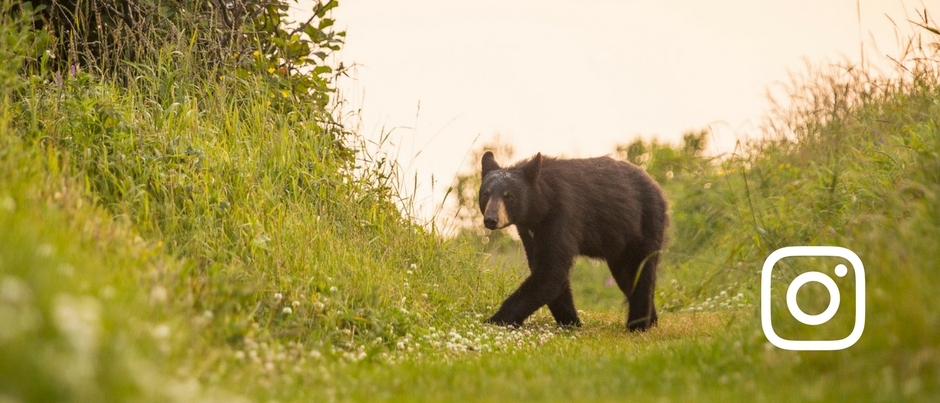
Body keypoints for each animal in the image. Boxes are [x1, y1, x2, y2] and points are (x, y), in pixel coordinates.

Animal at [478, 152, 668, 332]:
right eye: (486, 194)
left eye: (508, 196)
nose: (491, 220)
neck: (539, 207)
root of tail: (657, 187)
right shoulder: (529, 231)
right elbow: (546, 268)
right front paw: (571, 322)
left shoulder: (562, 214)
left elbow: (552, 271)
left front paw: (494, 320)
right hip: (620, 245)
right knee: (627, 276)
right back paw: (650, 320)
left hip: (645, 224)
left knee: (641, 270)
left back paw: (638, 325)